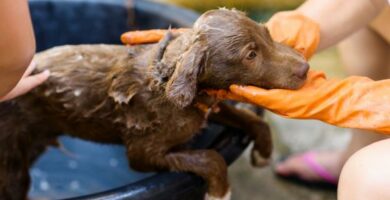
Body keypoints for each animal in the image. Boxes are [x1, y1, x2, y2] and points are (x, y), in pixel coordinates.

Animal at [0, 8, 306, 200]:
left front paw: (263, 153)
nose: (305, 68)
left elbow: (251, 120)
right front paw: (219, 193)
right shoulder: (143, 153)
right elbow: (210, 157)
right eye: (251, 55)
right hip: (11, 166)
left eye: (267, 33)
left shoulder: (203, 110)